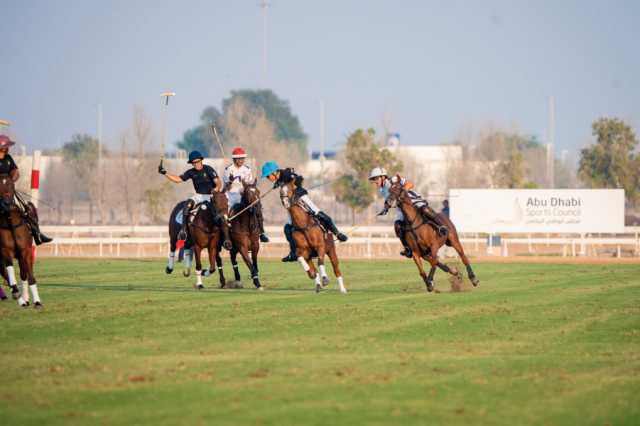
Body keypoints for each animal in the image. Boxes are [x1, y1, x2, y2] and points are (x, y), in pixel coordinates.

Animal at [0, 173, 40, 306]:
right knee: (5, 272)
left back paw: (25, 299)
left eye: (11, 185)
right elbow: (9, 269)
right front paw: (16, 292)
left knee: (23, 273)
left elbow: (28, 275)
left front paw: (37, 301)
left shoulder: (26, 251)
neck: (11, 223)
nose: (6, 202)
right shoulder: (5, 250)